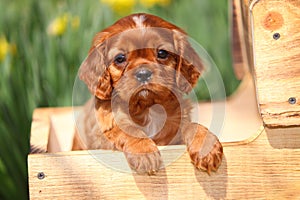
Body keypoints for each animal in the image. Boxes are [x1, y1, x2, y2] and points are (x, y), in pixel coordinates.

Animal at [72, 13, 223, 174]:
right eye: (120, 58)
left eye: (162, 53)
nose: (143, 74)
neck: (147, 108)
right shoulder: (101, 136)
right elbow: (125, 129)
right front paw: (144, 151)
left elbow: (192, 125)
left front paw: (206, 147)